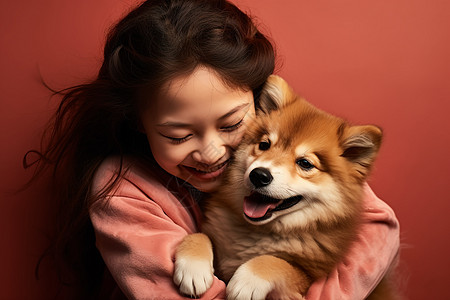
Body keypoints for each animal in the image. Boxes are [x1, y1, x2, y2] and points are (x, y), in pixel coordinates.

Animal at [172, 75, 394, 300]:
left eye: (305, 163)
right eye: (264, 145)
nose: (259, 175)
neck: (258, 232)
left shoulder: (307, 277)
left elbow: (278, 263)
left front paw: (247, 281)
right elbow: (200, 235)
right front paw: (193, 266)